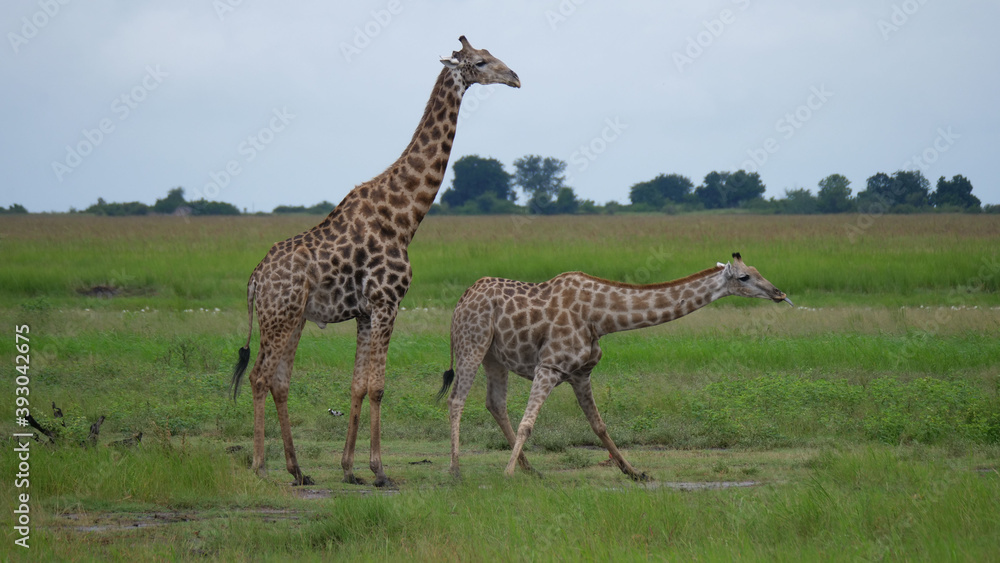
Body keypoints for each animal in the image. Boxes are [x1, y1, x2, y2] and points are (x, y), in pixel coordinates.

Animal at [230, 36, 520, 487]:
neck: (404, 217)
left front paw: (349, 469)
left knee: (279, 381)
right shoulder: (388, 303)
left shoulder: (366, 313)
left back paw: (298, 470)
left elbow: (357, 385)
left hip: (291, 318)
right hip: (278, 316)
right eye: (480, 62)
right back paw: (261, 466)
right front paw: (380, 470)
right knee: (261, 376)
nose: (515, 77)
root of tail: (255, 280)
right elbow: (379, 386)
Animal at [438, 253, 792, 481]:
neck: (602, 318)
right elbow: (529, 422)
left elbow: (600, 426)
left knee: (494, 403)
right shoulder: (549, 366)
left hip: (494, 357)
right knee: (457, 400)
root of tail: (460, 301)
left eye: (758, 270)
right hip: (472, 344)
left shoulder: (580, 374)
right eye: (745, 276)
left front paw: (634, 472)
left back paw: (530, 468)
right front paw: (507, 472)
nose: (780, 293)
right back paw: (456, 470)